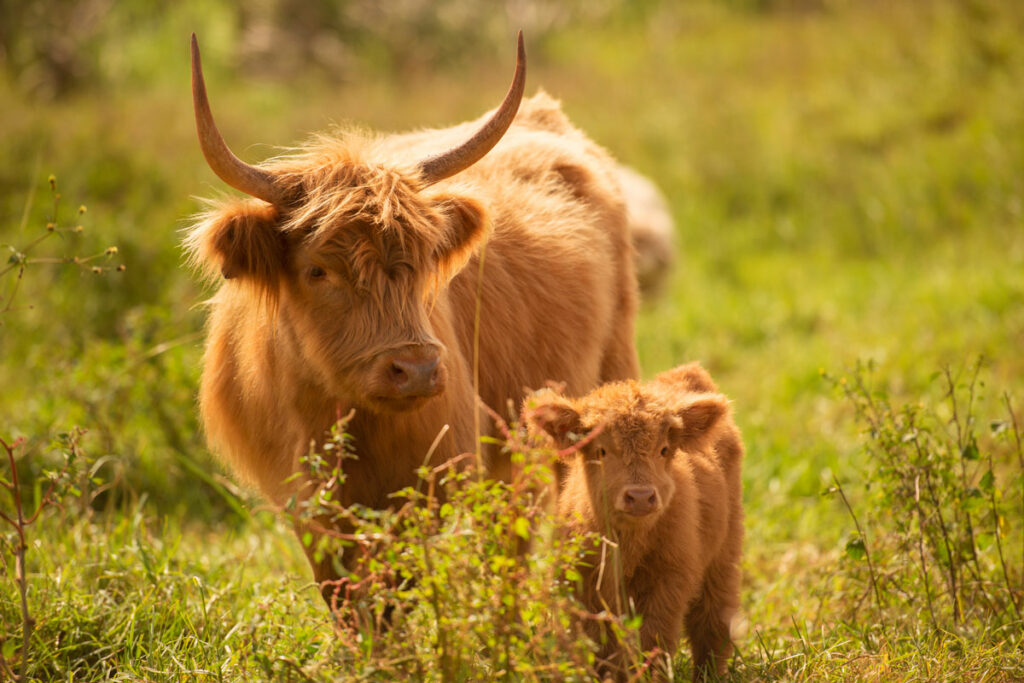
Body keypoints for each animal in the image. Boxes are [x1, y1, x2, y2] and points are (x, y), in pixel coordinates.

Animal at [528, 362, 745, 679]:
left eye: (664, 449)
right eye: (601, 450)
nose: (640, 497)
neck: (626, 545)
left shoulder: (669, 580)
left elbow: (652, 640)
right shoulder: (584, 584)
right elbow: (599, 646)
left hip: (723, 557)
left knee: (711, 622)